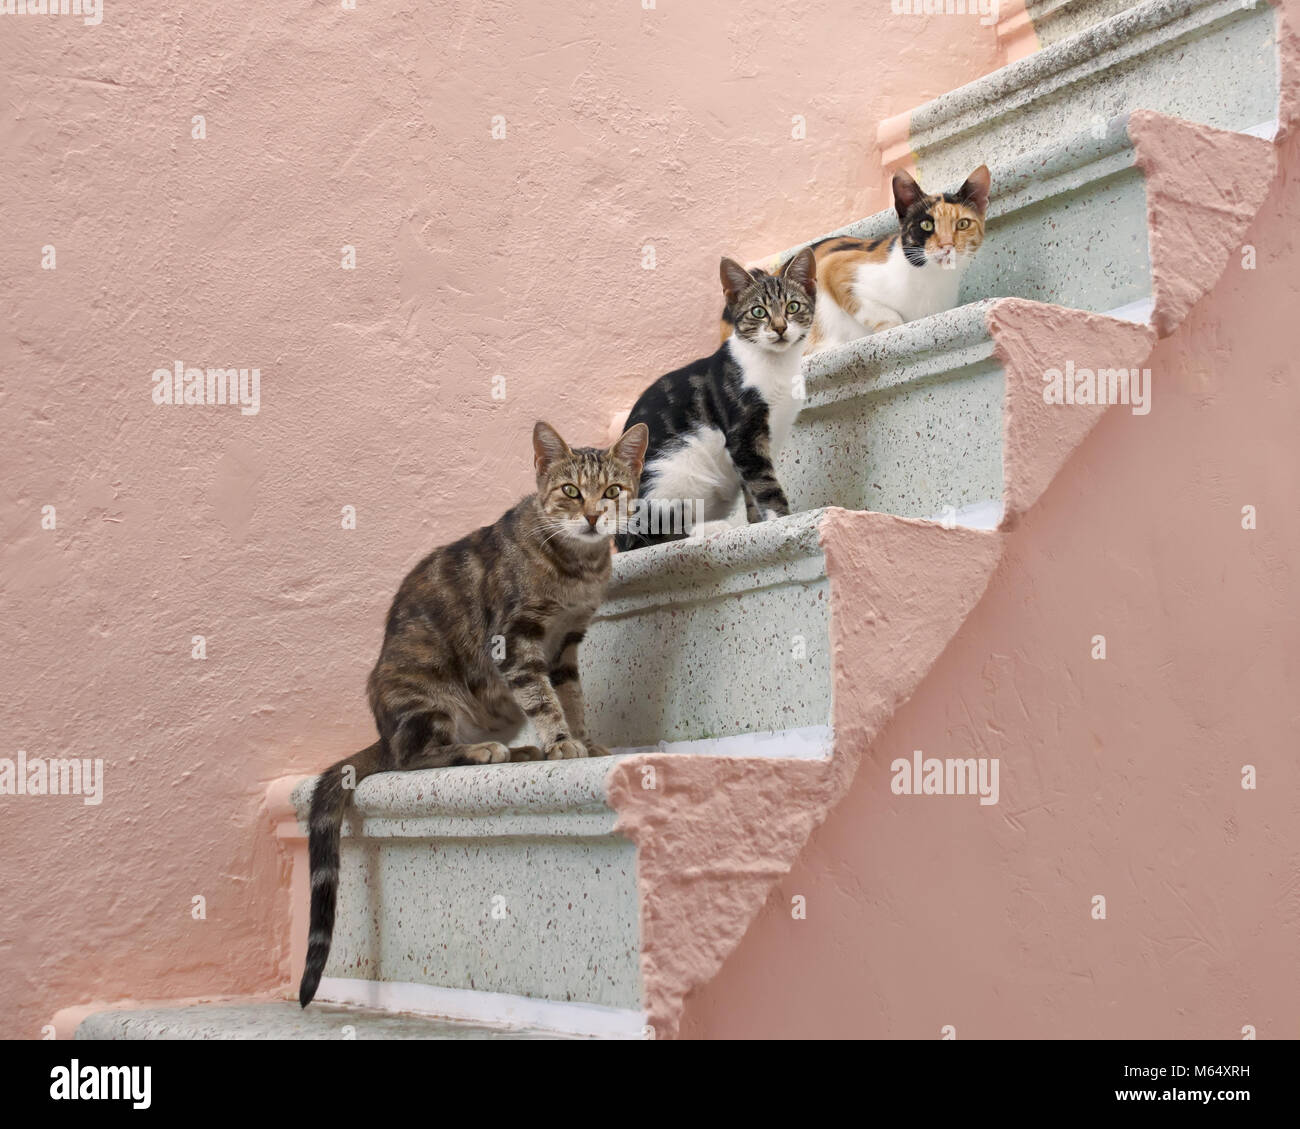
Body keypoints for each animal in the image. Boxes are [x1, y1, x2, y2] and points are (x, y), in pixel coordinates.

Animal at [297, 421, 647, 1004]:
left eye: (613, 491)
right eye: (571, 491)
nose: (595, 516)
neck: (577, 569)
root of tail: (381, 729)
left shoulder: (568, 643)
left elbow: (571, 695)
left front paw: (580, 737)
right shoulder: (516, 639)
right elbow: (542, 697)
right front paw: (561, 743)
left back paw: (521, 750)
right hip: (427, 697)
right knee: (409, 757)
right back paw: (483, 750)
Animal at [611, 252, 811, 559]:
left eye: (793, 307)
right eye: (758, 312)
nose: (780, 328)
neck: (776, 365)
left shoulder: (759, 443)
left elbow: (752, 487)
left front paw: (757, 524)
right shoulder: (743, 433)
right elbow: (765, 483)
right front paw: (782, 520)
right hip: (671, 475)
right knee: (649, 537)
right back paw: (710, 527)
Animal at [795, 163, 987, 353]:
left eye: (963, 224)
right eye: (926, 225)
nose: (947, 245)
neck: (932, 279)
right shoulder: (832, 265)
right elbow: (888, 316)